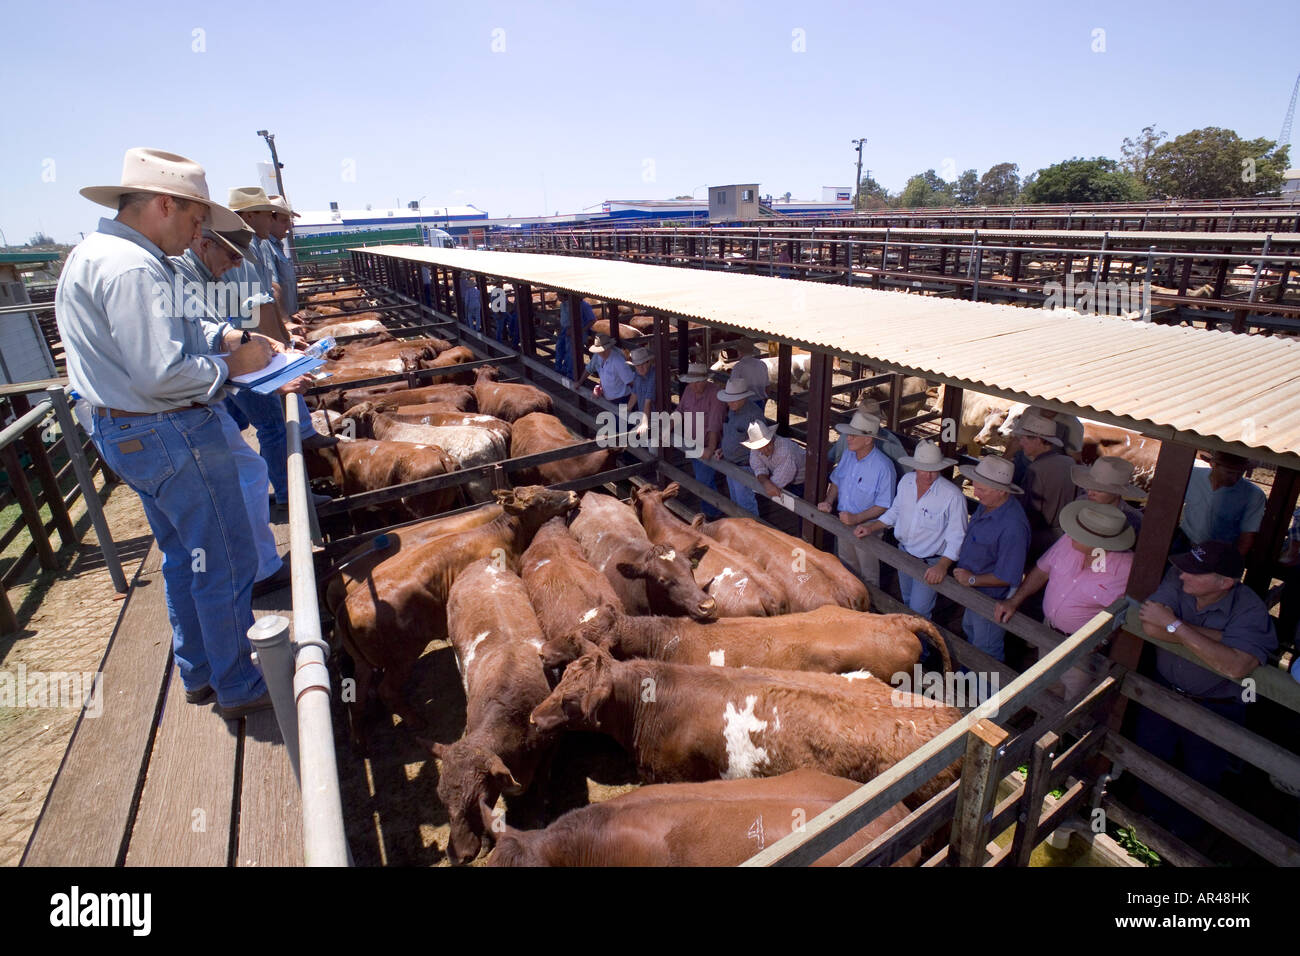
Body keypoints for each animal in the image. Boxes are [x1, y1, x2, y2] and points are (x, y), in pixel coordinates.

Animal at [334, 485, 579, 747]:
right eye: (542, 499)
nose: (574, 494)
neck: (506, 536)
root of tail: (347, 603)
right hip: (401, 657)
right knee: (387, 690)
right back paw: (415, 721)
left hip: (364, 664)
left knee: (357, 695)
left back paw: (359, 739)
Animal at [432, 558, 557, 865]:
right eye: (441, 799)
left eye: (480, 797)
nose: (459, 855)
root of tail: (482, 563)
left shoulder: (550, 748)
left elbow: (541, 788)